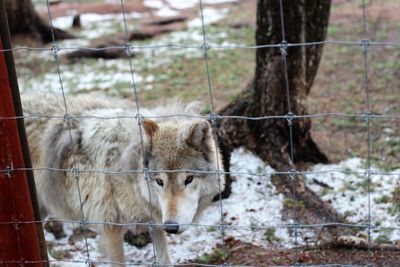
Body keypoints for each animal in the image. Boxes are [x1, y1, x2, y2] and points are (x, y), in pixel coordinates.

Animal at [22, 94, 225, 266]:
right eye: (160, 182)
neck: (129, 172)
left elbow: (164, 259)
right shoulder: (111, 227)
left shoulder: (155, 221)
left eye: (189, 179)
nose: (171, 227)